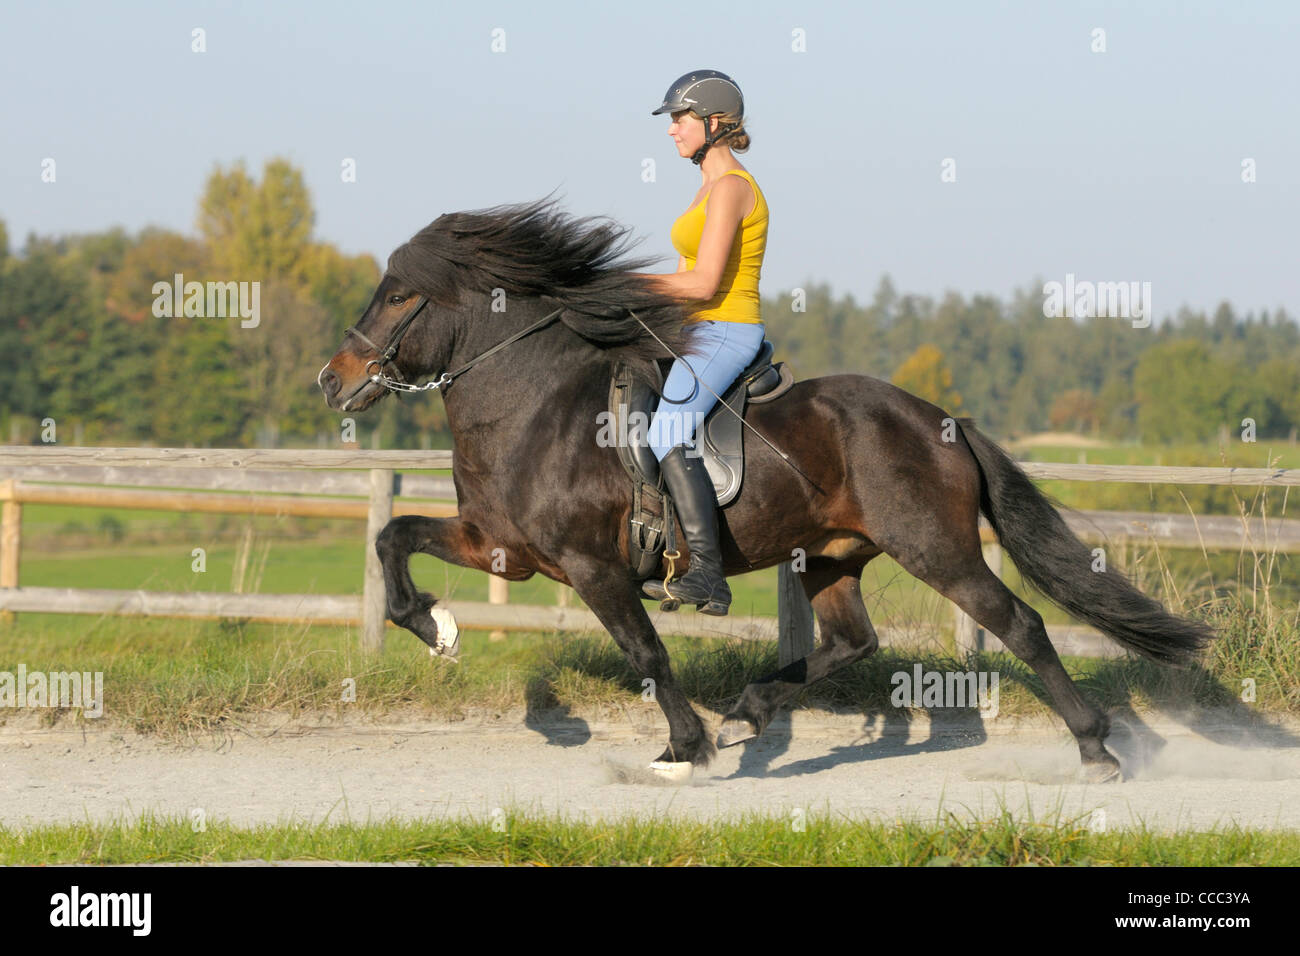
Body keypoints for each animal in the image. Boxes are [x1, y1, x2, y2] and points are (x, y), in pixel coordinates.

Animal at [319, 196, 1211, 785]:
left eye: (398, 295)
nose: (332, 380)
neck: (531, 404)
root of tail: (939, 418)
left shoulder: (592, 568)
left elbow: (646, 651)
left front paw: (685, 750)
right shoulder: (502, 546)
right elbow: (393, 537)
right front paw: (435, 628)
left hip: (936, 548)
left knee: (1019, 624)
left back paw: (1096, 749)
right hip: (833, 555)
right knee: (851, 642)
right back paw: (749, 711)